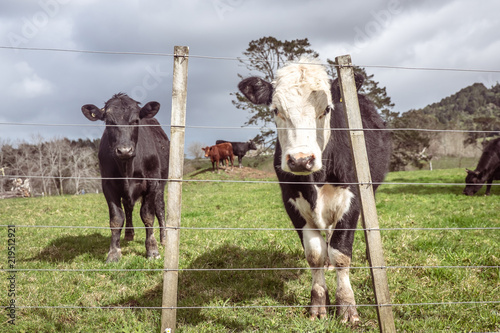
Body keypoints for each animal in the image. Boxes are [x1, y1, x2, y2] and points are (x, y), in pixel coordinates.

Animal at [81, 92, 169, 262]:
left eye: (135, 121)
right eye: (109, 122)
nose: (124, 150)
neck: (128, 167)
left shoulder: (152, 183)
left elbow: (148, 216)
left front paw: (152, 250)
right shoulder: (108, 185)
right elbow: (116, 218)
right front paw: (114, 253)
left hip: (162, 183)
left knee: (160, 208)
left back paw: (164, 238)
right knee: (128, 207)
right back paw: (129, 234)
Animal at [238, 57, 390, 322]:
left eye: (327, 109)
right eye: (275, 110)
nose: (301, 160)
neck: (316, 180)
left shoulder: (352, 198)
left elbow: (341, 253)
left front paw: (347, 306)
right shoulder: (292, 203)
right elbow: (315, 255)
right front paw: (319, 304)